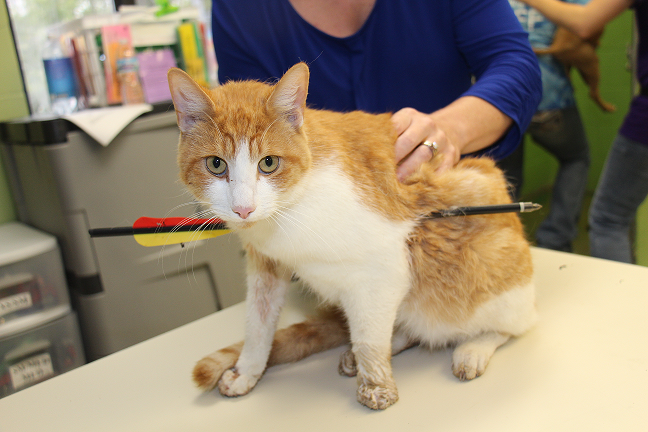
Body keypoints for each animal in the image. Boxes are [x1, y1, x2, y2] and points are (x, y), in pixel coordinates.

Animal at [168, 62, 536, 410]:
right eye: (216, 165)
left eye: (268, 163)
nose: (243, 209)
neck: (289, 214)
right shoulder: (266, 266)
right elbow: (257, 326)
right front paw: (247, 372)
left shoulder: (383, 269)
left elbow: (369, 339)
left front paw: (376, 386)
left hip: (492, 274)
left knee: (512, 325)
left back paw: (472, 349)